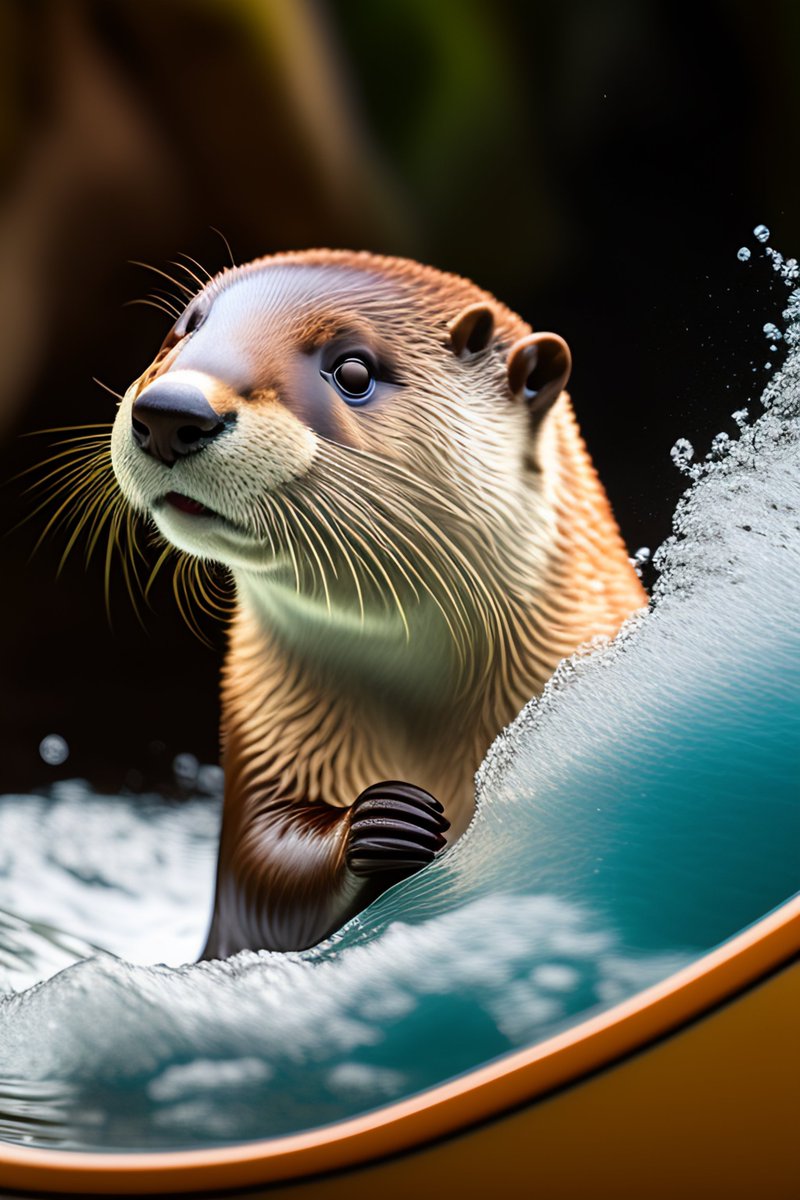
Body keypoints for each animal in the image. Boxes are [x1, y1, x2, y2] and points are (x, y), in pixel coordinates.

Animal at [110, 250, 646, 958]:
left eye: (354, 372)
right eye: (183, 330)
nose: (173, 410)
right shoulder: (271, 740)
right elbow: (263, 880)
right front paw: (386, 822)